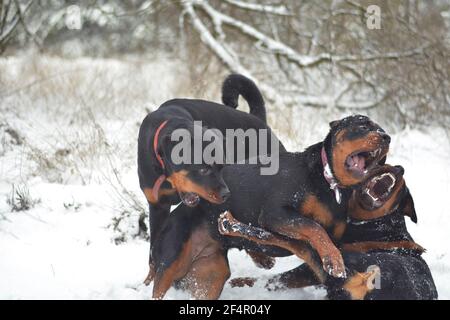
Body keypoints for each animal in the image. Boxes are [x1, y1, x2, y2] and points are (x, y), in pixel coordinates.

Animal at [148, 114, 390, 298]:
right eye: (362, 125)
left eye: (381, 129)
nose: (386, 137)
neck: (327, 182)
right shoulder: (275, 215)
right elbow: (313, 227)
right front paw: (334, 260)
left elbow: (315, 243)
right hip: (170, 261)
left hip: (211, 275)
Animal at [220, 165, 438, 300]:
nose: (400, 168)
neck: (380, 226)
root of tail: (371, 283)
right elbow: (279, 280)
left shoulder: (318, 267)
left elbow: (282, 274)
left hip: (335, 264)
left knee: (296, 244)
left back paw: (230, 224)